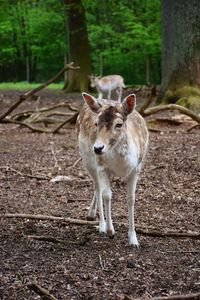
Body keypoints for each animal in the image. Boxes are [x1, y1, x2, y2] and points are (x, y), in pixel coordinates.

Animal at [76, 92, 148, 246]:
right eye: (96, 123)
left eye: (118, 124)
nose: (98, 148)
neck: (122, 164)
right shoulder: (102, 167)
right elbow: (107, 195)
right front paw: (110, 231)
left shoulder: (136, 168)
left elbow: (131, 198)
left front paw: (133, 240)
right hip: (88, 162)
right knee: (97, 188)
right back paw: (100, 224)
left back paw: (91, 214)